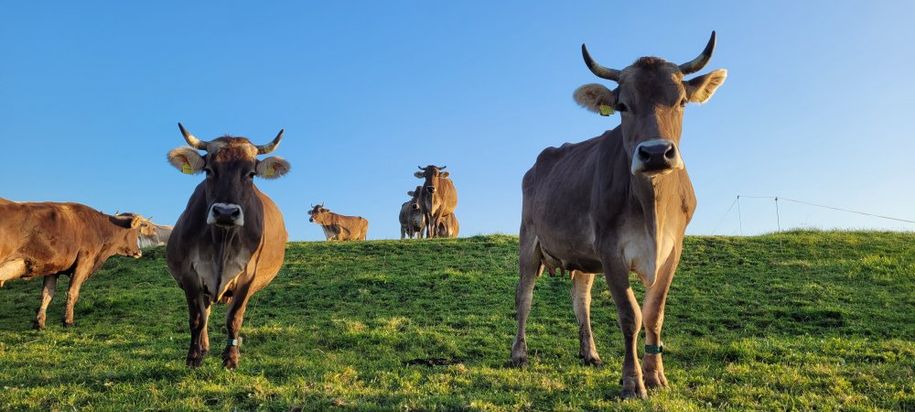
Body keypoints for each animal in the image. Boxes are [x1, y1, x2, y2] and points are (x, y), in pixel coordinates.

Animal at [0, 201, 144, 330]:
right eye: (137, 232)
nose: (139, 252)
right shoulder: (84, 262)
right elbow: (72, 292)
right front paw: (68, 321)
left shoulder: (53, 269)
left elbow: (47, 294)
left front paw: (39, 323)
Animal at [166, 123, 290, 370]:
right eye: (208, 170)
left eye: (251, 174)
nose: (225, 212)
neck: (222, 241)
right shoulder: (190, 274)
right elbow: (197, 318)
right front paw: (194, 357)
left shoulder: (248, 276)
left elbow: (234, 319)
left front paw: (231, 358)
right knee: (205, 312)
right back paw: (203, 347)